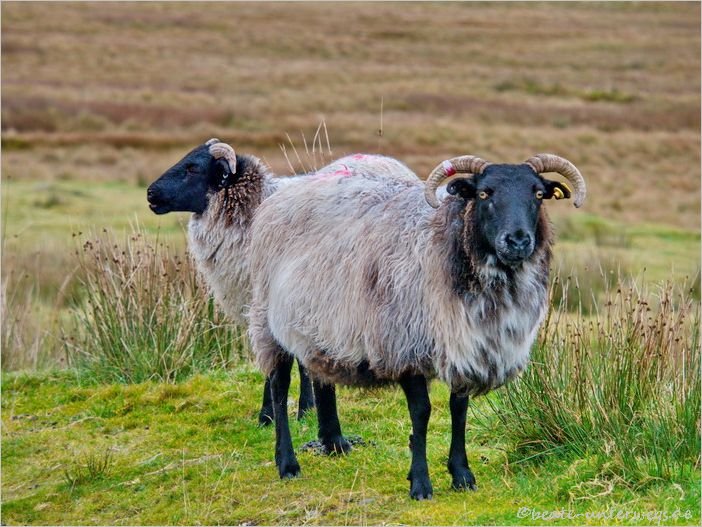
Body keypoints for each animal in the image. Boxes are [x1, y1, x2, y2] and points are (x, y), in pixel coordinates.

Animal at [247, 152, 586, 498]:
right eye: (483, 194)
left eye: (538, 194)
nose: (518, 241)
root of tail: (289, 188)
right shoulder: (405, 345)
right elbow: (421, 413)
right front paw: (420, 483)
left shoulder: (467, 347)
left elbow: (458, 410)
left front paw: (462, 475)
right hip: (268, 321)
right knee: (278, 387)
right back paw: (287, 463)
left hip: (317, 325)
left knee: (320, 374)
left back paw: (334, 442)